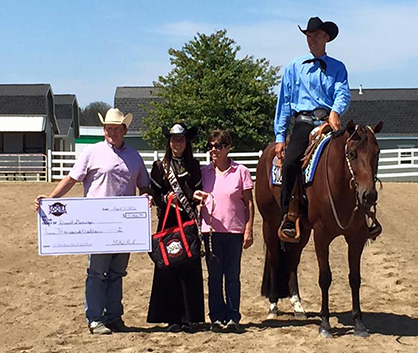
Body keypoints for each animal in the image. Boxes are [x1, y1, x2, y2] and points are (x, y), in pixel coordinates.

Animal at [255, 120, 382, 336]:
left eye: (377, 152)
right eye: (352, 153)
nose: (368, 195)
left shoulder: (356, 237)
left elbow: (355, 278)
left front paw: (359, 323)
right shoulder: (322, 236)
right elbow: (325, 277)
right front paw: (325, 324)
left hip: (301, 231)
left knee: (293, 261)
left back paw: (297, 305)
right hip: (269, 223)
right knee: (273, 258)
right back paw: (273, 306)